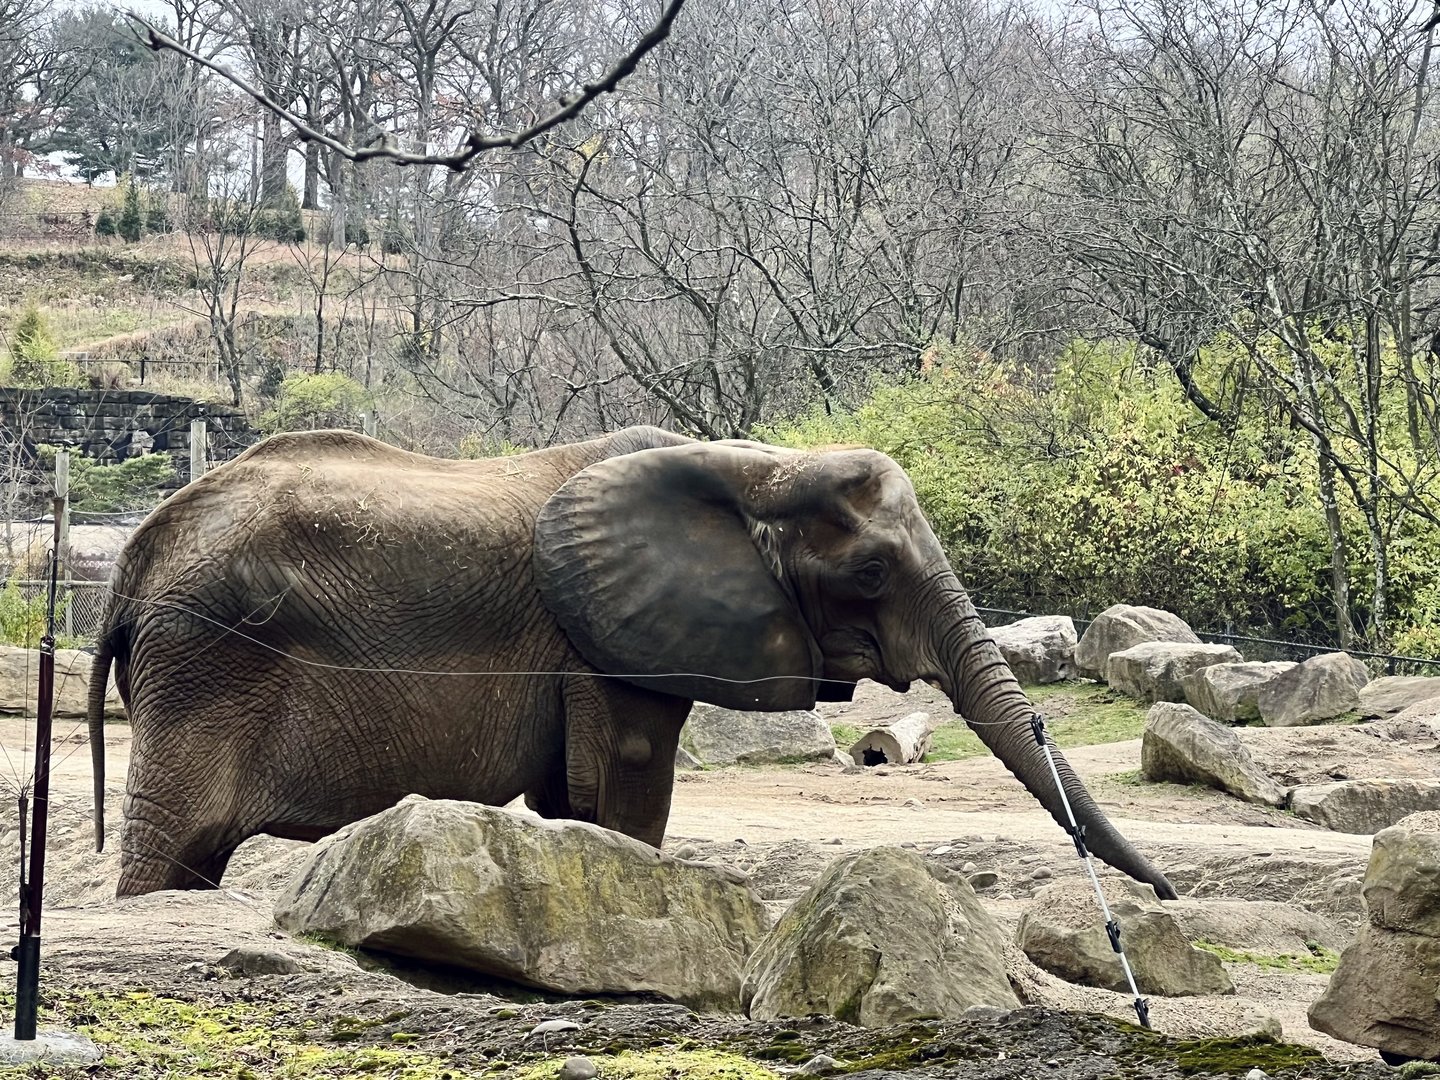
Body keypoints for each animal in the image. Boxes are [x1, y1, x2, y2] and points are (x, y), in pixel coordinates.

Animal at [89, 425, 1177, 900]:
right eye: (870, 573)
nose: (1164, 897)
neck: (758, 462)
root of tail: (134, 558)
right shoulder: (607, 651)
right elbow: (626, 784)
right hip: (203, 665)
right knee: (172, 841)